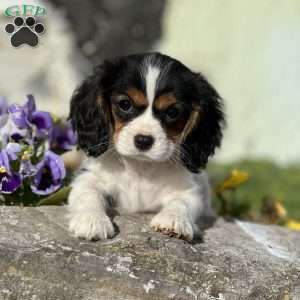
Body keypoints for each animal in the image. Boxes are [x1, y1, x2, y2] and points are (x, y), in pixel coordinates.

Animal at [67, 52, 223, 241]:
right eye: (125, 104)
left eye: (173, 112)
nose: (143, 140)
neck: (141, 167)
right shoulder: (88, 178)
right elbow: (88, 195)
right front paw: (92, 220)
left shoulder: (190, 191)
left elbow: (181, 203)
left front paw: (173, 220)